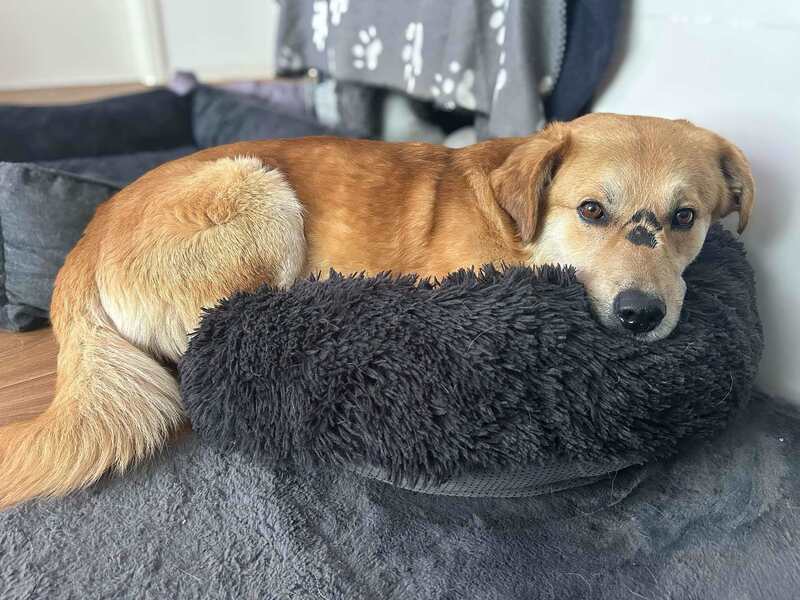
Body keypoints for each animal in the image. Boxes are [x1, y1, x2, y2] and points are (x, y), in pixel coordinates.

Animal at [0, 113, 754, 508]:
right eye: (592, 210)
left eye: (685, 218)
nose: (640, 316)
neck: (517, 227)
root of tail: (84, 243)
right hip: (259, 193)